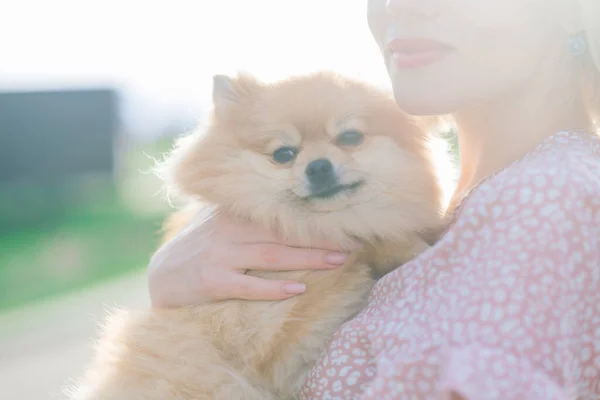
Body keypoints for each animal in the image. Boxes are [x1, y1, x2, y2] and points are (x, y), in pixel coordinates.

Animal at [69, 72, 446, 400]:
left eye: (350, 137)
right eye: (283, 154)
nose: (318, 166)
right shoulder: (268, 327)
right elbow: (360, 245)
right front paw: (401, 245)